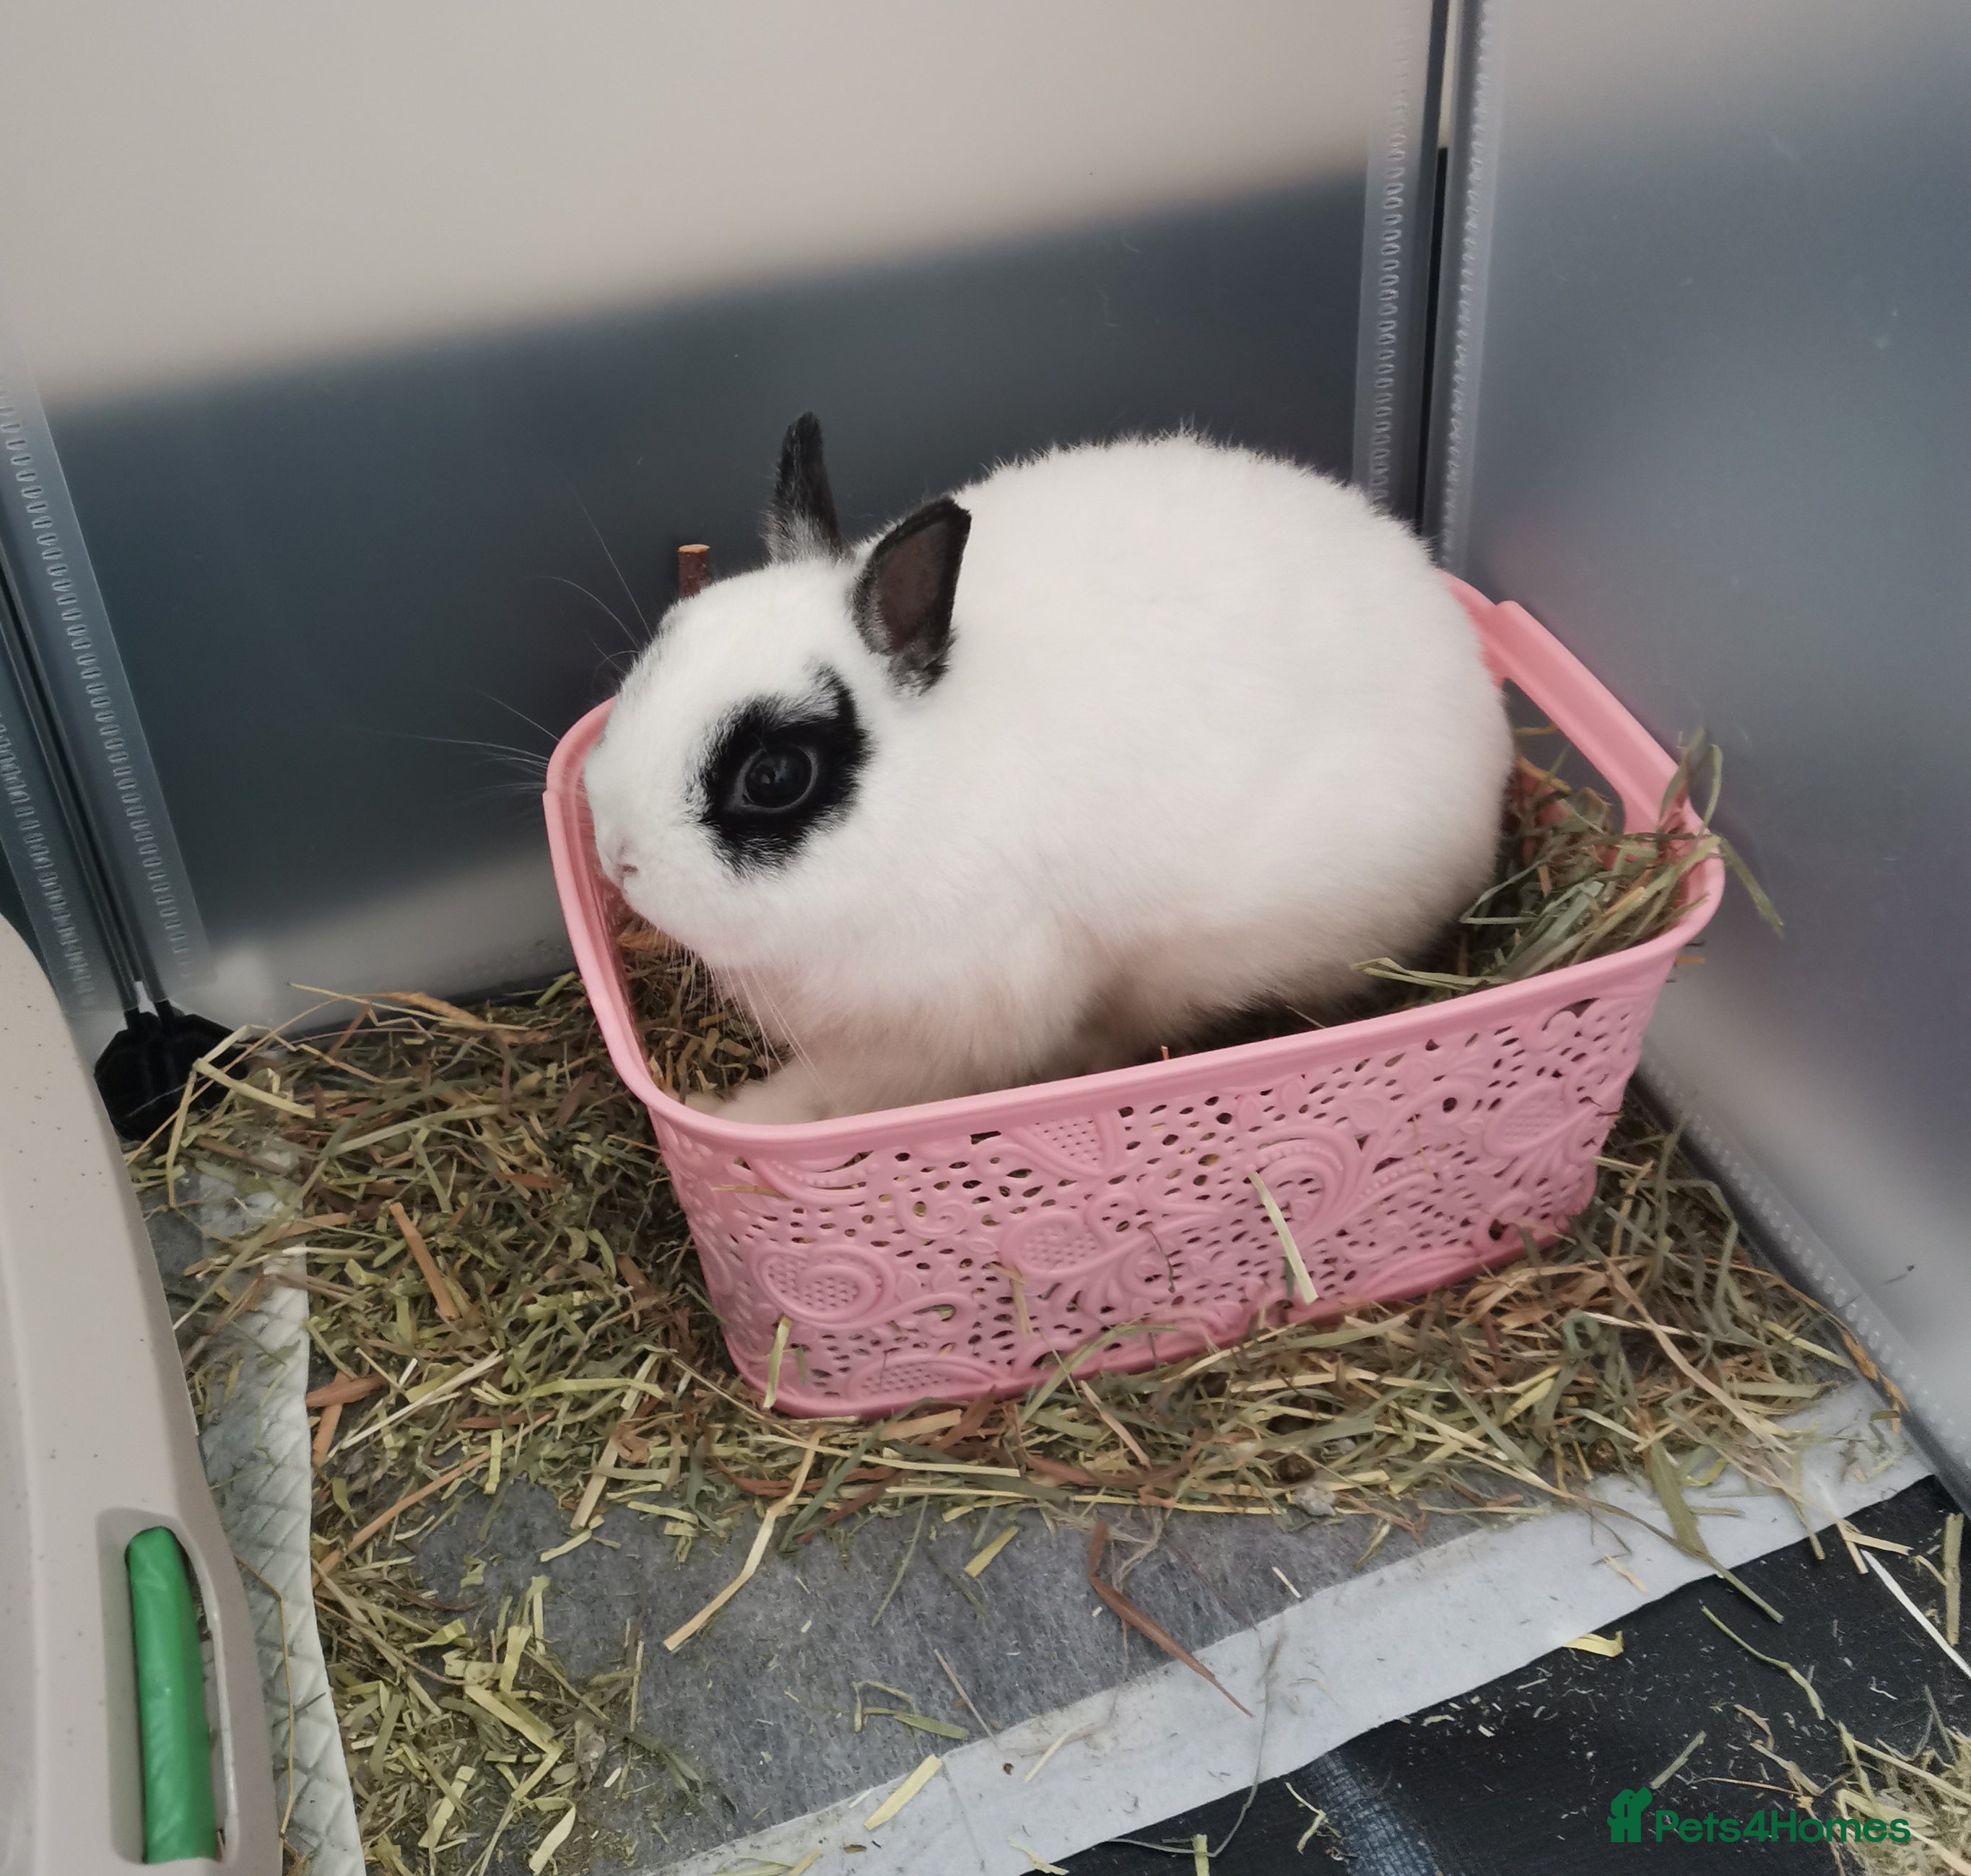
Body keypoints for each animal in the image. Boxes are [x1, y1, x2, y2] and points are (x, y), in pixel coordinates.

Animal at [582, 415, 1513, 1126]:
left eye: (775, 777)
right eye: (662, 646)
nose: (616, 857)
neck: (919, 800)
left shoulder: (943, 1033)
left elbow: (837, 1094)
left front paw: (735, 1114)